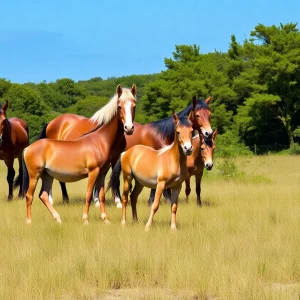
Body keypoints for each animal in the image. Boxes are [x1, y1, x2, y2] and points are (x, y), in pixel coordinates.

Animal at [14, 85, 135, 224]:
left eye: (134, 106)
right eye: (119, 106)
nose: (129, 128)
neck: (100, 140)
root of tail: (27, 148)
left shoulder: (101, 173)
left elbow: (101, 196)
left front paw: (106, 219)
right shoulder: (93, 171)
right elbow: (89, 194)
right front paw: (85, 220)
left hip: (47, 176)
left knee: (43, 196)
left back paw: (58, 218)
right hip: (35, 175)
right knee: (29, 196)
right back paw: (29, 221)